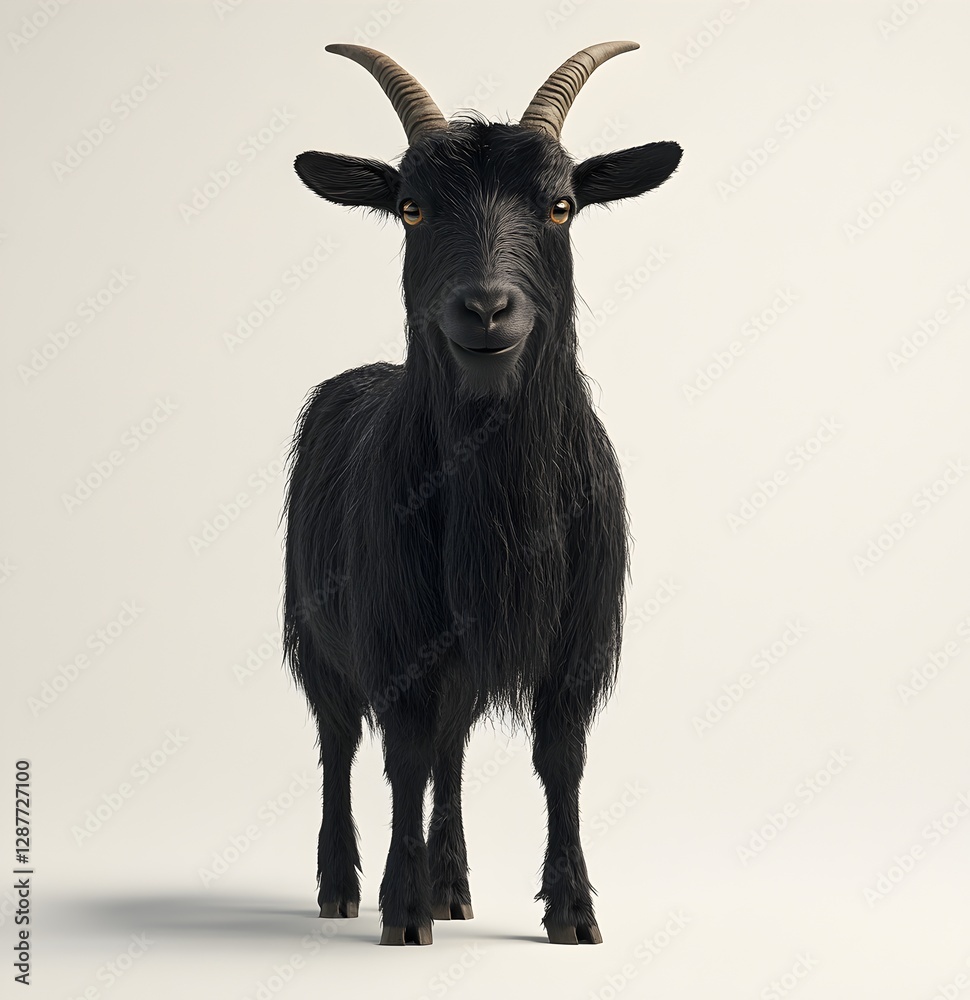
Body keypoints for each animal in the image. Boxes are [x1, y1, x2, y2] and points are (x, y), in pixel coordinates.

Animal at [284, 40, 682, 946]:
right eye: (410, 209)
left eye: (563, 206)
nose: (487, 308)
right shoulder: (397, 630)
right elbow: (398, 757)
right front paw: (401, 913)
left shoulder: (576, 639)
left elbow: (559, 758)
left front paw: (573, 910)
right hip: (315, 634)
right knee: (338, 742)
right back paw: (341, 887)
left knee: (452, 750)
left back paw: (454, 887)